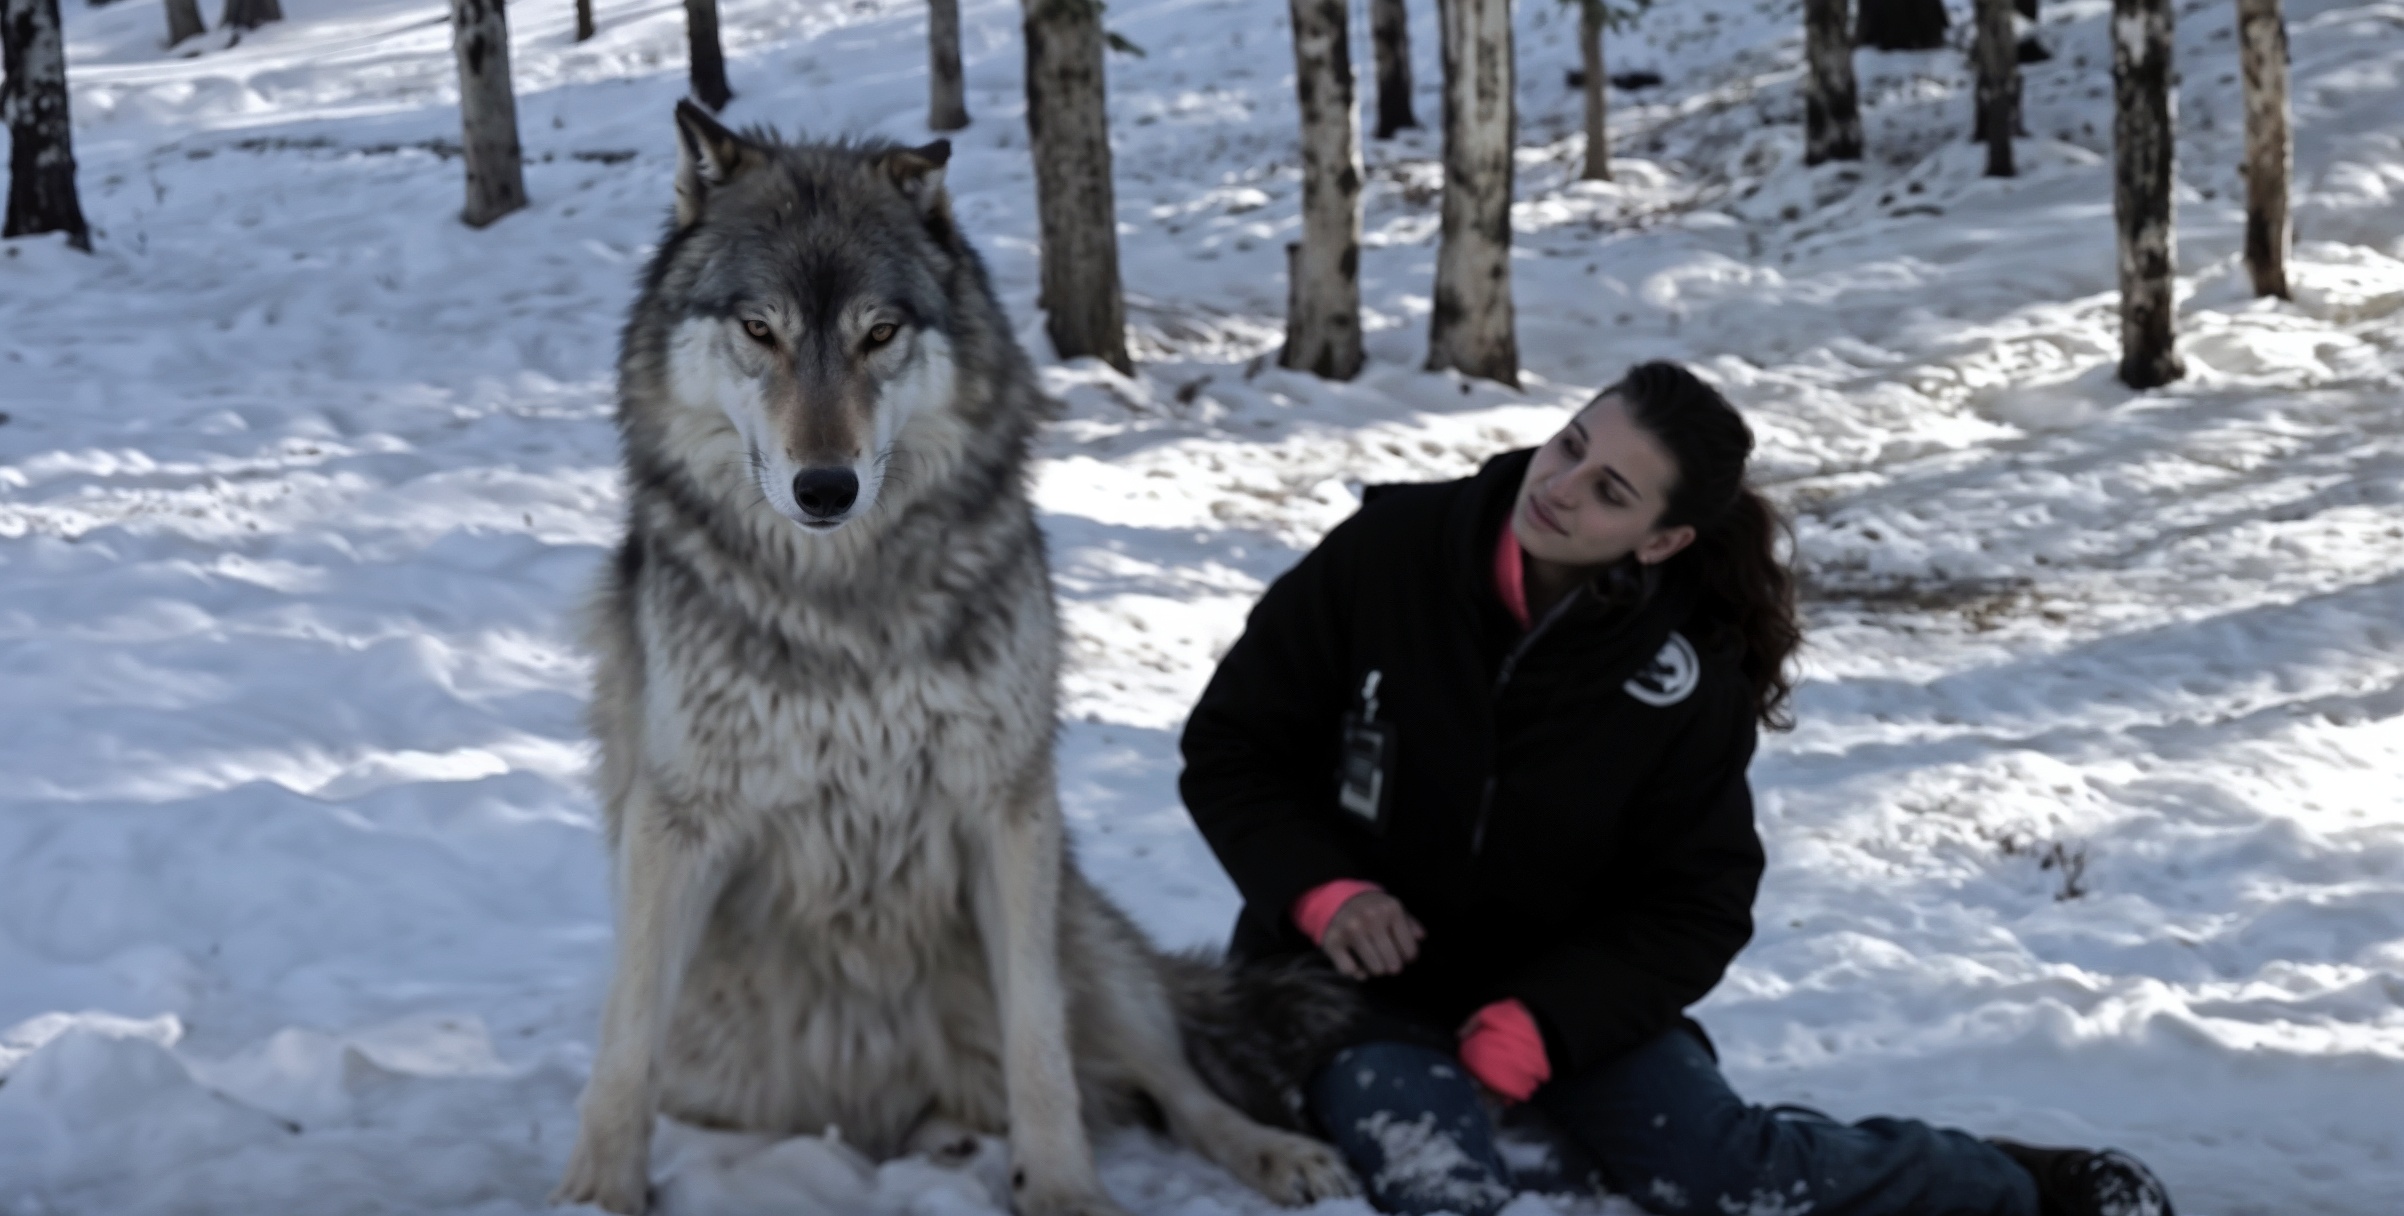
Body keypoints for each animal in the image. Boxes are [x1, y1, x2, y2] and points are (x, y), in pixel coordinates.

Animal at [550, 102, 1361, 1216]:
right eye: (759, 330)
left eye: (879, 333)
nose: (826, 488)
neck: (841, 601)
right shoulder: (676, 819)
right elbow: (624, 1040)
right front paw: (598, 1191)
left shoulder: (1006, 807)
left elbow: (1040, 1043)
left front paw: (1064, 1192)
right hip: (723, 1062)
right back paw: (944, 1144)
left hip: (1089, 937)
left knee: (1172, 1080)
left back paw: (1273, 1155)